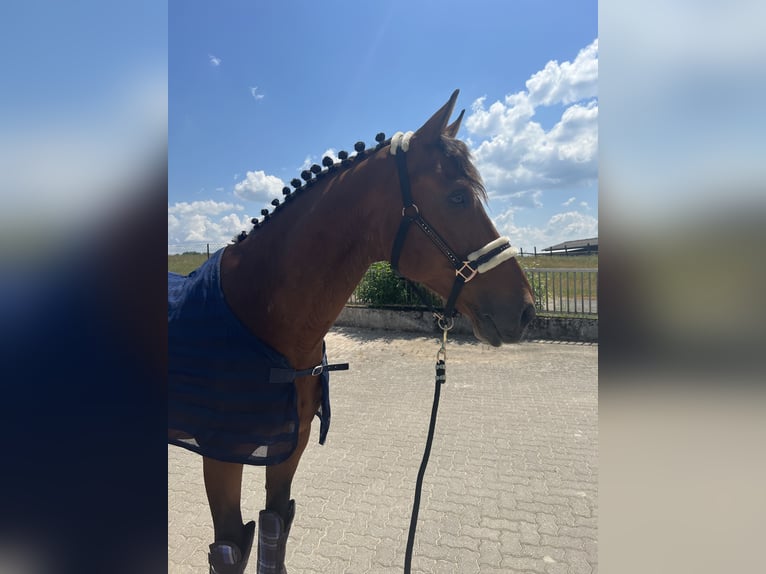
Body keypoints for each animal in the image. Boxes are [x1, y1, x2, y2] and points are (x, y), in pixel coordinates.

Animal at [168, 90, 536, 574]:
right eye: (458, 197)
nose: (525, 309)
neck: (261, 318)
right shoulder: (221, 456)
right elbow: (230, 549)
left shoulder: (290, 447)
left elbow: (274, 528)